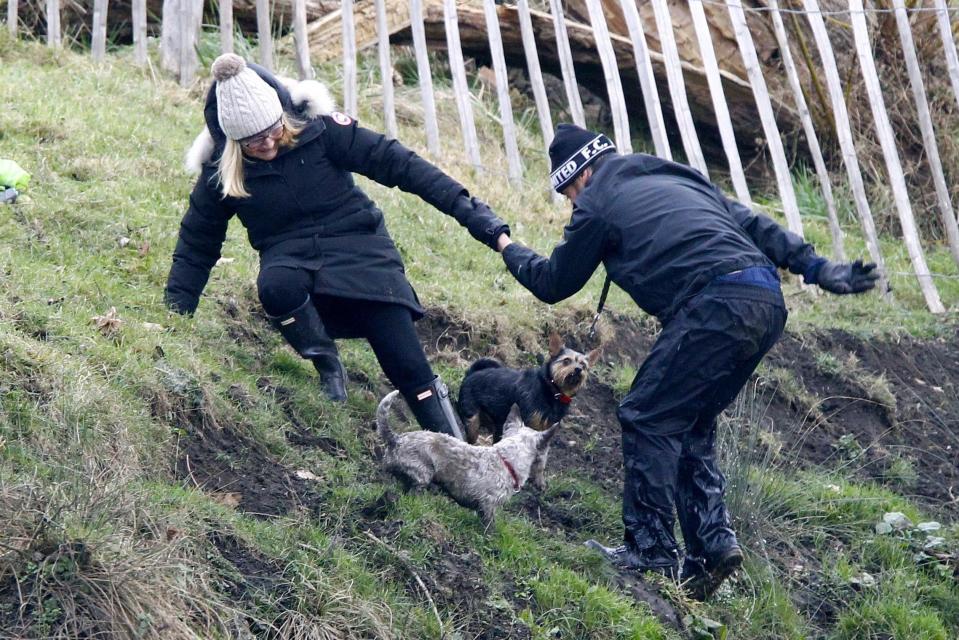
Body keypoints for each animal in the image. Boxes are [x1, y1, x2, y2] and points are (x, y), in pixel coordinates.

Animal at [374, 388, 560, 528]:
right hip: (423, 474)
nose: (544, 486)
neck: (506, 460)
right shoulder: (488, 505)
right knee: (413, 489)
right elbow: (489, 524)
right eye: (545, 455)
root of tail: (395, 439)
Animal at [460, 336, 600, 490]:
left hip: (498, 424)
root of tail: (471, 373)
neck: (552, 391)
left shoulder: (546, 434)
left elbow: (541, 462)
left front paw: (539, 482)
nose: (578, 369)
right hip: (472, 421)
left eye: (584, 365)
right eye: (566, 361)